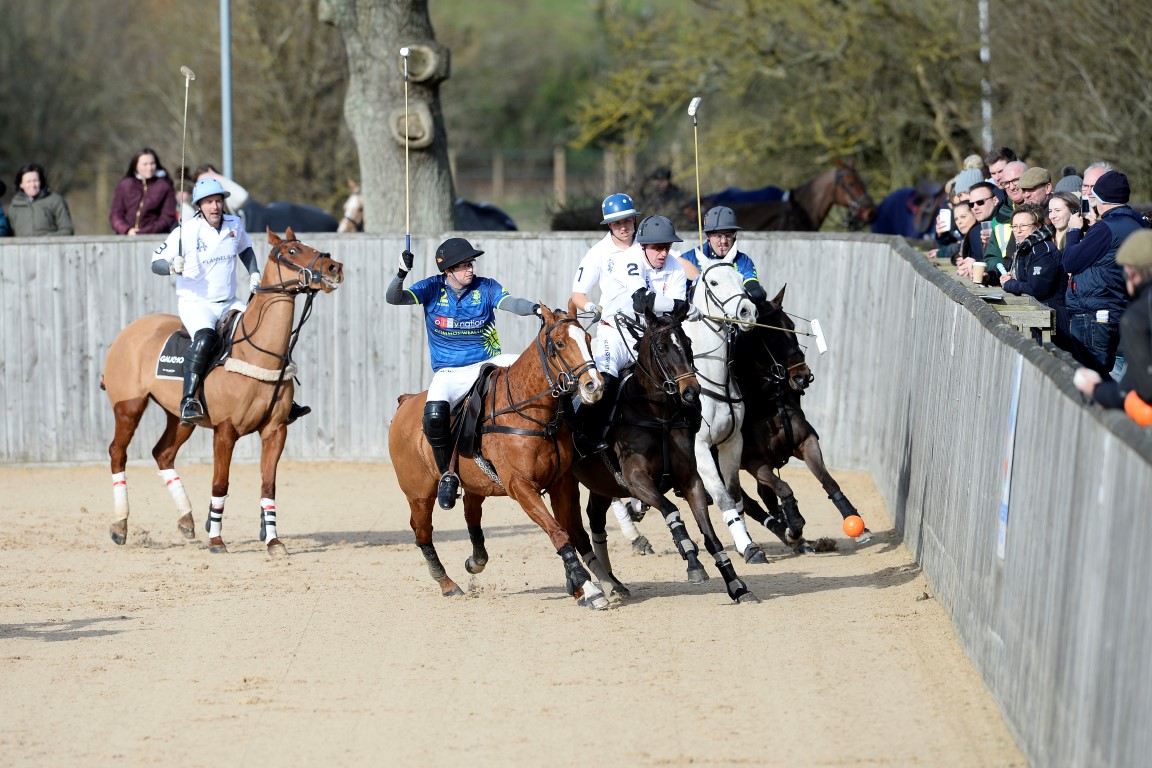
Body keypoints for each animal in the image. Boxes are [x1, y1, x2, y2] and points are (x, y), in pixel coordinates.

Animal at [101, 225, 343, 554]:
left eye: (308, 246)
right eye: (292, 251)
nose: (334, 267)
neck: (257, 353)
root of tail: (128, 331)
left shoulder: (276, 430)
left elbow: (268, 485)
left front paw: (273, 540)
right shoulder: (225, 431)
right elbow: (220, 483)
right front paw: (216, 539)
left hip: (180, 417)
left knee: (163, 453)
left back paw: (186, 520)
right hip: (129, 406)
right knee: (118, 453)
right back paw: (120, 526)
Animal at [389, 303, 612, 607]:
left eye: (588, 340)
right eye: (559, 344)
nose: (594, 386)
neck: (534, 415)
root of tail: (406, 401)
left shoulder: (561, 483)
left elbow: (568, 530)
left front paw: (579, 585)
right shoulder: (521, 486)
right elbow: (557, 531)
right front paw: (588, 589)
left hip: (474, 484)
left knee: (471, 515)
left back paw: (476, 561)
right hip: (419, 493)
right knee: (422, 532)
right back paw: (447, 584)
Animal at [681, 260, 764, 564]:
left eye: (742, 278)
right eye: (714, 282)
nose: (747, 312)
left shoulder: (732, 442)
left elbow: (735, 493)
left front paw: (749, 543)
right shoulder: (699, 448)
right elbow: (722, 497)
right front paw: (747, 546)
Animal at [728, 287, 866, 552]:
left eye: (791, 326)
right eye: (769, 336)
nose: (803, 376)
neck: (767, 403)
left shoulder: (806, 441)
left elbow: (828, 480)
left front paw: (855, 521)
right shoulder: (753, 462)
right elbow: (784, 488)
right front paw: (794, 525)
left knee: (764, 496)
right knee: (749, 502)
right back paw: (783, 531)